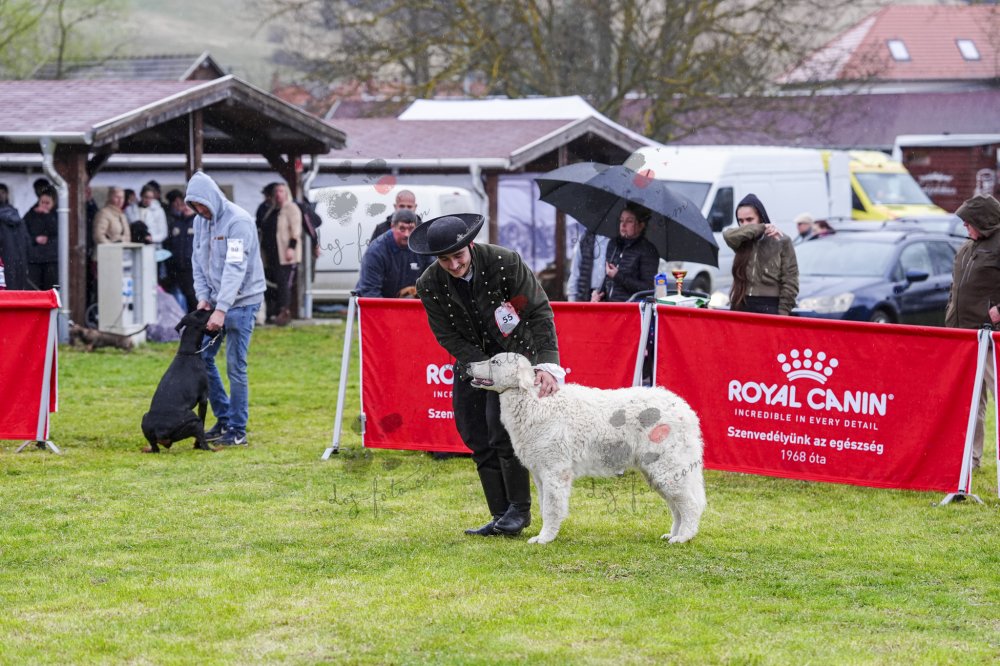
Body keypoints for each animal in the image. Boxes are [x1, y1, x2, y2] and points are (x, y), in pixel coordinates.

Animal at [140, 309, 217, 453]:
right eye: (204, 311)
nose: (213, 307)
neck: (188, 352)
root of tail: (160, 431)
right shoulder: (204, 398)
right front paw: (196, 445)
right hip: (194, 421)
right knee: (203, 439)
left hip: (145, 418)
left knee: (155, 448)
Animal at [467, 353, 706, 544]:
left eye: (495, 361)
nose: (468, 365)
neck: (532, 401)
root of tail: (685, 409)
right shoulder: (540, 474)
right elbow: (544, 507)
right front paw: (546, 535)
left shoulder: (555, 471)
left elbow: (551, 509)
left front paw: (544, 538)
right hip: (659, 473)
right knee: (677, 507)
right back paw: (673, 534)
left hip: (667, 469)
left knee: (690, 505)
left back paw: (683, 538)